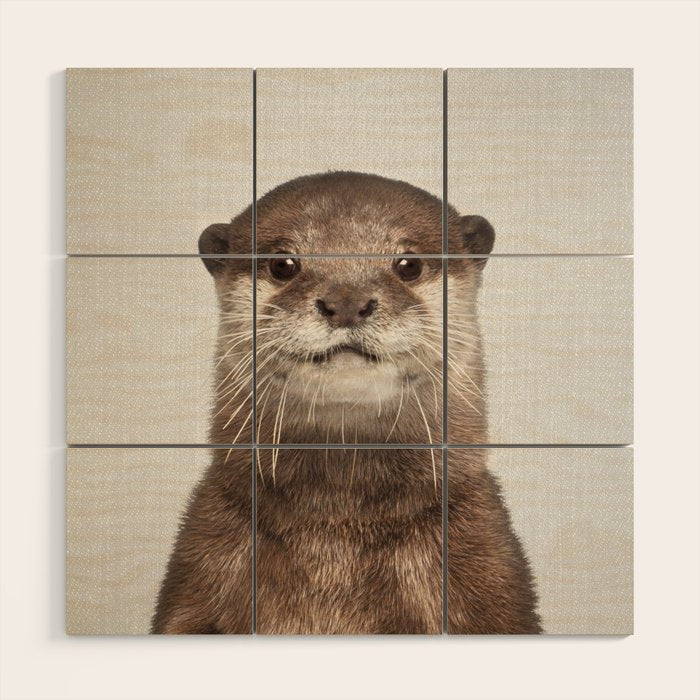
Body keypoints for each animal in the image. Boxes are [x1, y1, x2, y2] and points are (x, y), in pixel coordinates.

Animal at [152, 171, 541, 634]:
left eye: (409, 264)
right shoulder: (201, 565)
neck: (335, 539)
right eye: (283, 264)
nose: (347, 302)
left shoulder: (486, 568)